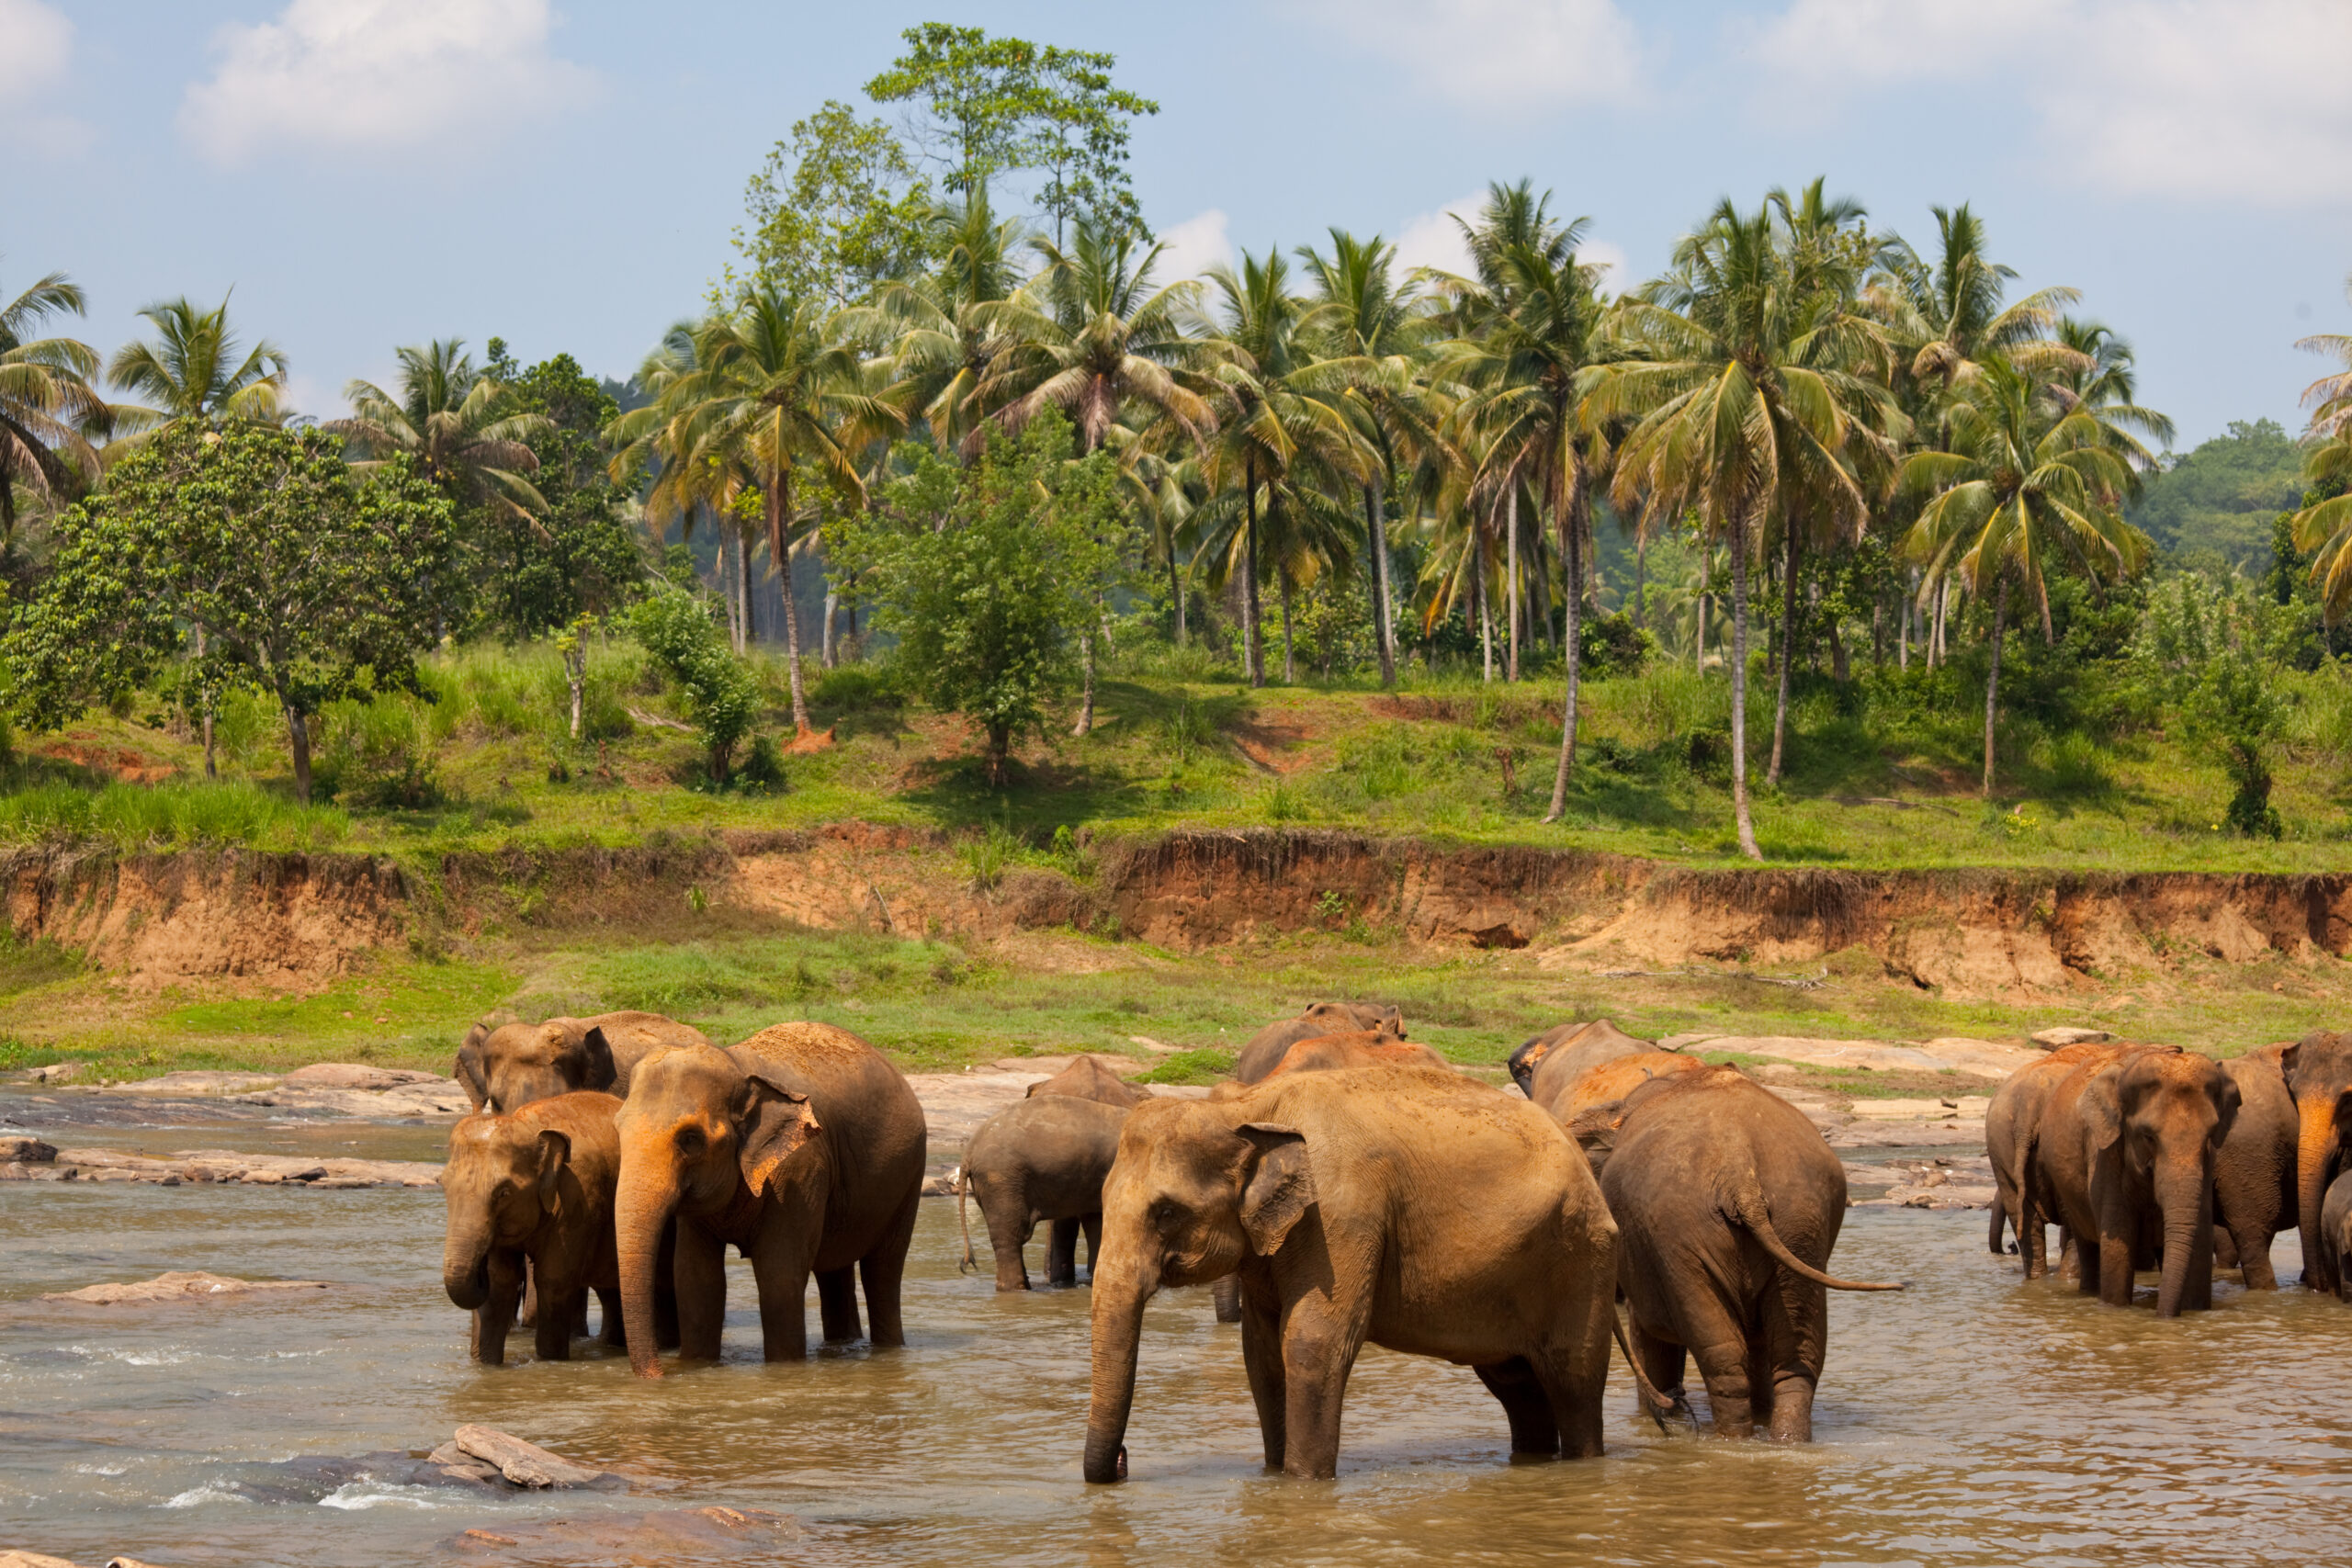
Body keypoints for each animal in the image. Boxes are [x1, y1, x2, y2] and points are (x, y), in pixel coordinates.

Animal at [442, 1091, 677, 1364]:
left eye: (503, 1193)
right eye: (442, 1184)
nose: (479, 1266)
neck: (528, 1125)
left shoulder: (577, 1199)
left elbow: (553, 1280)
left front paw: (550, 1362)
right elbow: (499, 1283)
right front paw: (485, 1366)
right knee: (610, 1291)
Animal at [613, 1020, 927, 1377]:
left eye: (690, 1139)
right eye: (618, 1130)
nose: (659, 1374)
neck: (736, 1064)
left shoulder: (799, 1170)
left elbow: (779, 1275)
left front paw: (784, 1371)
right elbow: (696, 1280)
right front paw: (698, 1365)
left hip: (908, 1178)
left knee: (883, 1271)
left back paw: (889, 1351)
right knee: (834, 1270)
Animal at [1083, 1064, 1620, 1483]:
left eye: (1166, 1213)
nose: (1124, 1462)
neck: (1247, 1104)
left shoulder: (1341, 1216)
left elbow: (1312, 1342)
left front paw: (1302, 1485)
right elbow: (1262, 1355)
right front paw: (1273, 1476)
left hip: (1580, 1258)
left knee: (1573, 1380)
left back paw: (1581, 1464)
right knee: (1517, 1385)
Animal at [1585, 1065, 1900, 1441]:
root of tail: (1740, 1176)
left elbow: (1648, 1332)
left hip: (1679, 1235)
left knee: (1723, 1356)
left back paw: (1730, 1439)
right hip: (1801, 1224)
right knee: (1795, 1356)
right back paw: (1784, 1441)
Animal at [2029, 1047, 2241, 1316]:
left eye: (2210, 1135)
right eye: (2148, 1136)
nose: (2162, 1317)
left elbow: (2200, 1240)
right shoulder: (2105, 1153)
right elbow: (2118, 1243)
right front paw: (2117, 1311)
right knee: (2087, 1247)